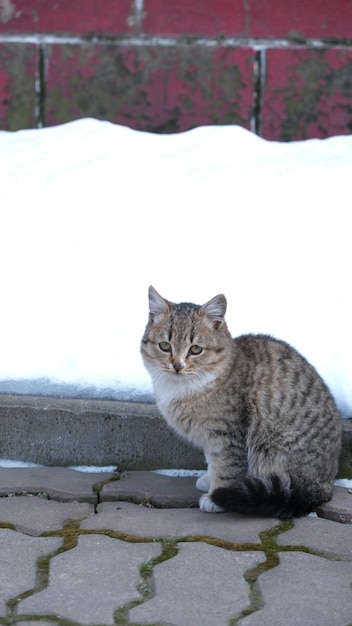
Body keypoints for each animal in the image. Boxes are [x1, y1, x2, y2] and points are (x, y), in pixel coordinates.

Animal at [140, 286, 340, 516]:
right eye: (165, 346)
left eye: (195, 349)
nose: (177, 365)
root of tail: (325, 486)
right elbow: (212, 461)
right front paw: (208, 479)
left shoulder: (226, 434)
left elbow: (226, 466)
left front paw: (216, 496)